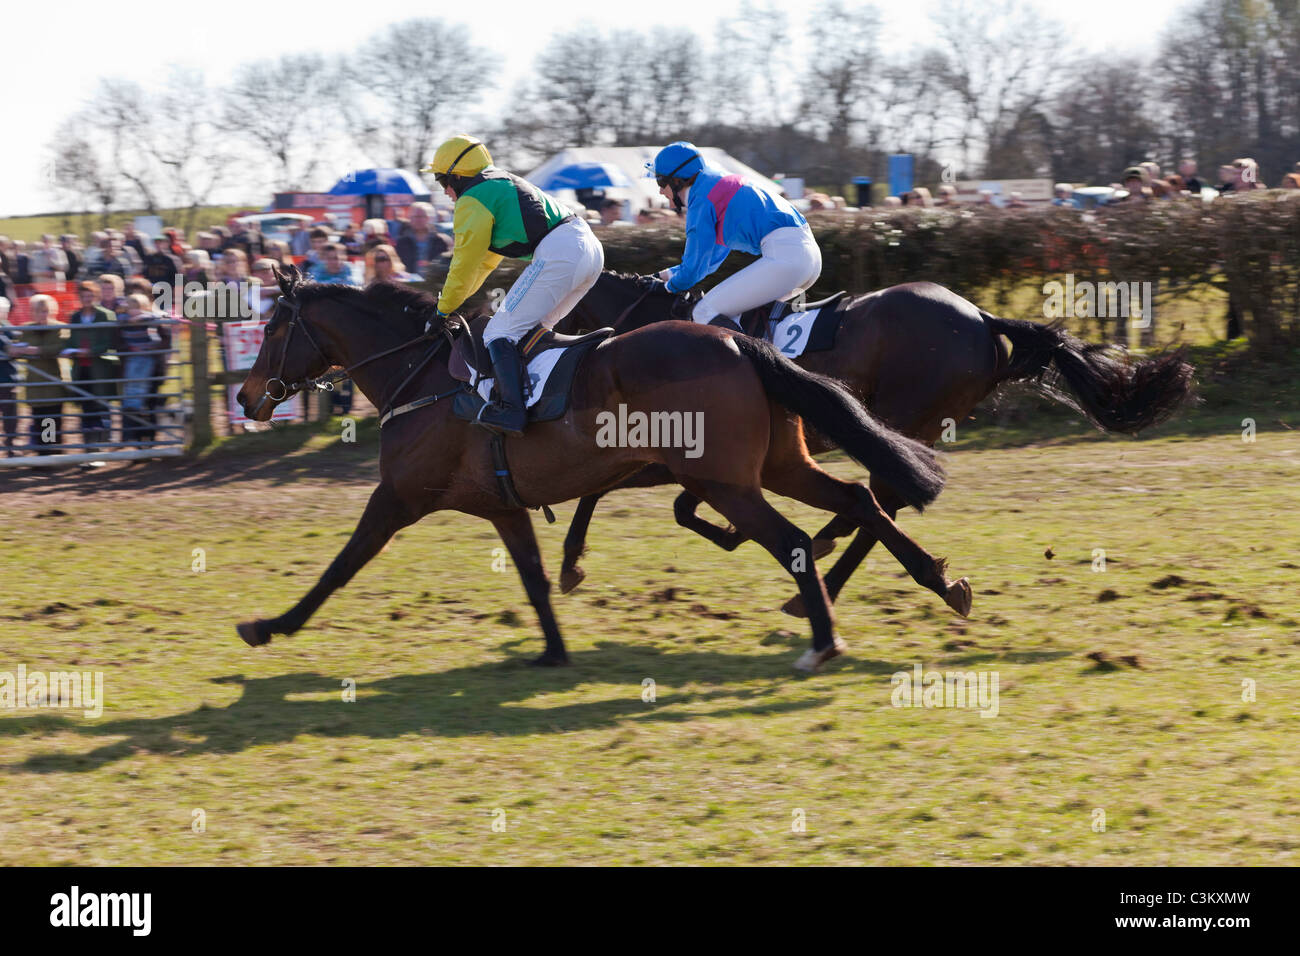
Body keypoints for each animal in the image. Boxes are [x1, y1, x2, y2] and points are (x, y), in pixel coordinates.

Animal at [231, 264, 977, 671]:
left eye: (270, 328)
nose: (244, 397)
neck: (423, 377)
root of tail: (739, 342)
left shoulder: (398, 496)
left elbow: (341, 564)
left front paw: (271, 625)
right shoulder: (503, 505)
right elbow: (533, 577)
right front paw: (554, 647)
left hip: (728, 481)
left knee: (797, 538)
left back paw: (821, 639)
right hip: (777, 466)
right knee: (859, 499)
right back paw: (941, 581)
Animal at [553, 270, 1190, 613]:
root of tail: (983, 319)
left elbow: (610, 495)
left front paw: (571, 565)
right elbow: (662, 504)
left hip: (905, 418)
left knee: (882, 501)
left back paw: (826, 576)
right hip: (916, 425)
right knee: (881, 502)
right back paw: (829, 553)